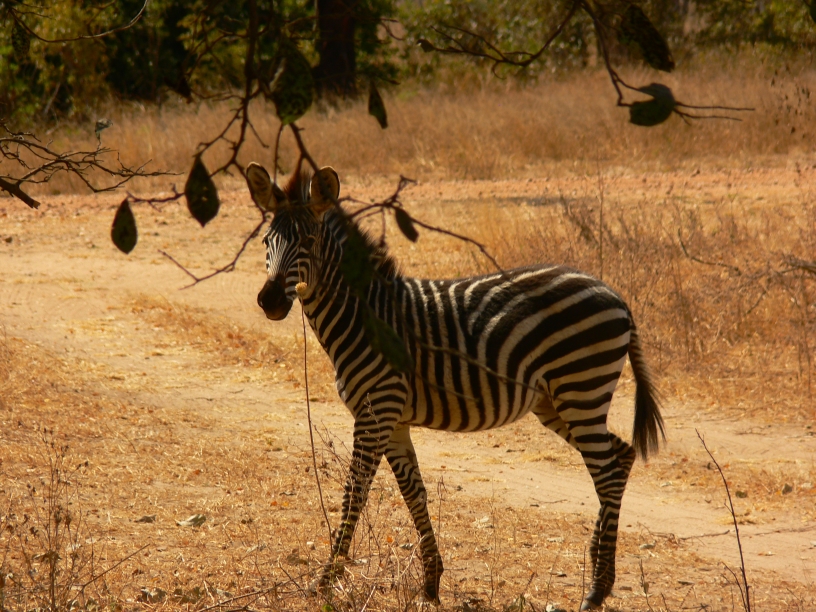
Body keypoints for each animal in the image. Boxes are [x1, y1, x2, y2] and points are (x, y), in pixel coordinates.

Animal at [246, 162, 664, 611]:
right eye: (266, 242)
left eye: (307, 242)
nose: (269, 301)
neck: (365, 315)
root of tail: (614, 294)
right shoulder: (393, 420)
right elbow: (414, 493)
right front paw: (431, 582)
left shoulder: (376, 411)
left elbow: (355, 491)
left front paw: (326, 580)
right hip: (558, 401)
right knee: (620, 457)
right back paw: (599, 568)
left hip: (580, 389)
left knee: (606, 472)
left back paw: (597, 588)